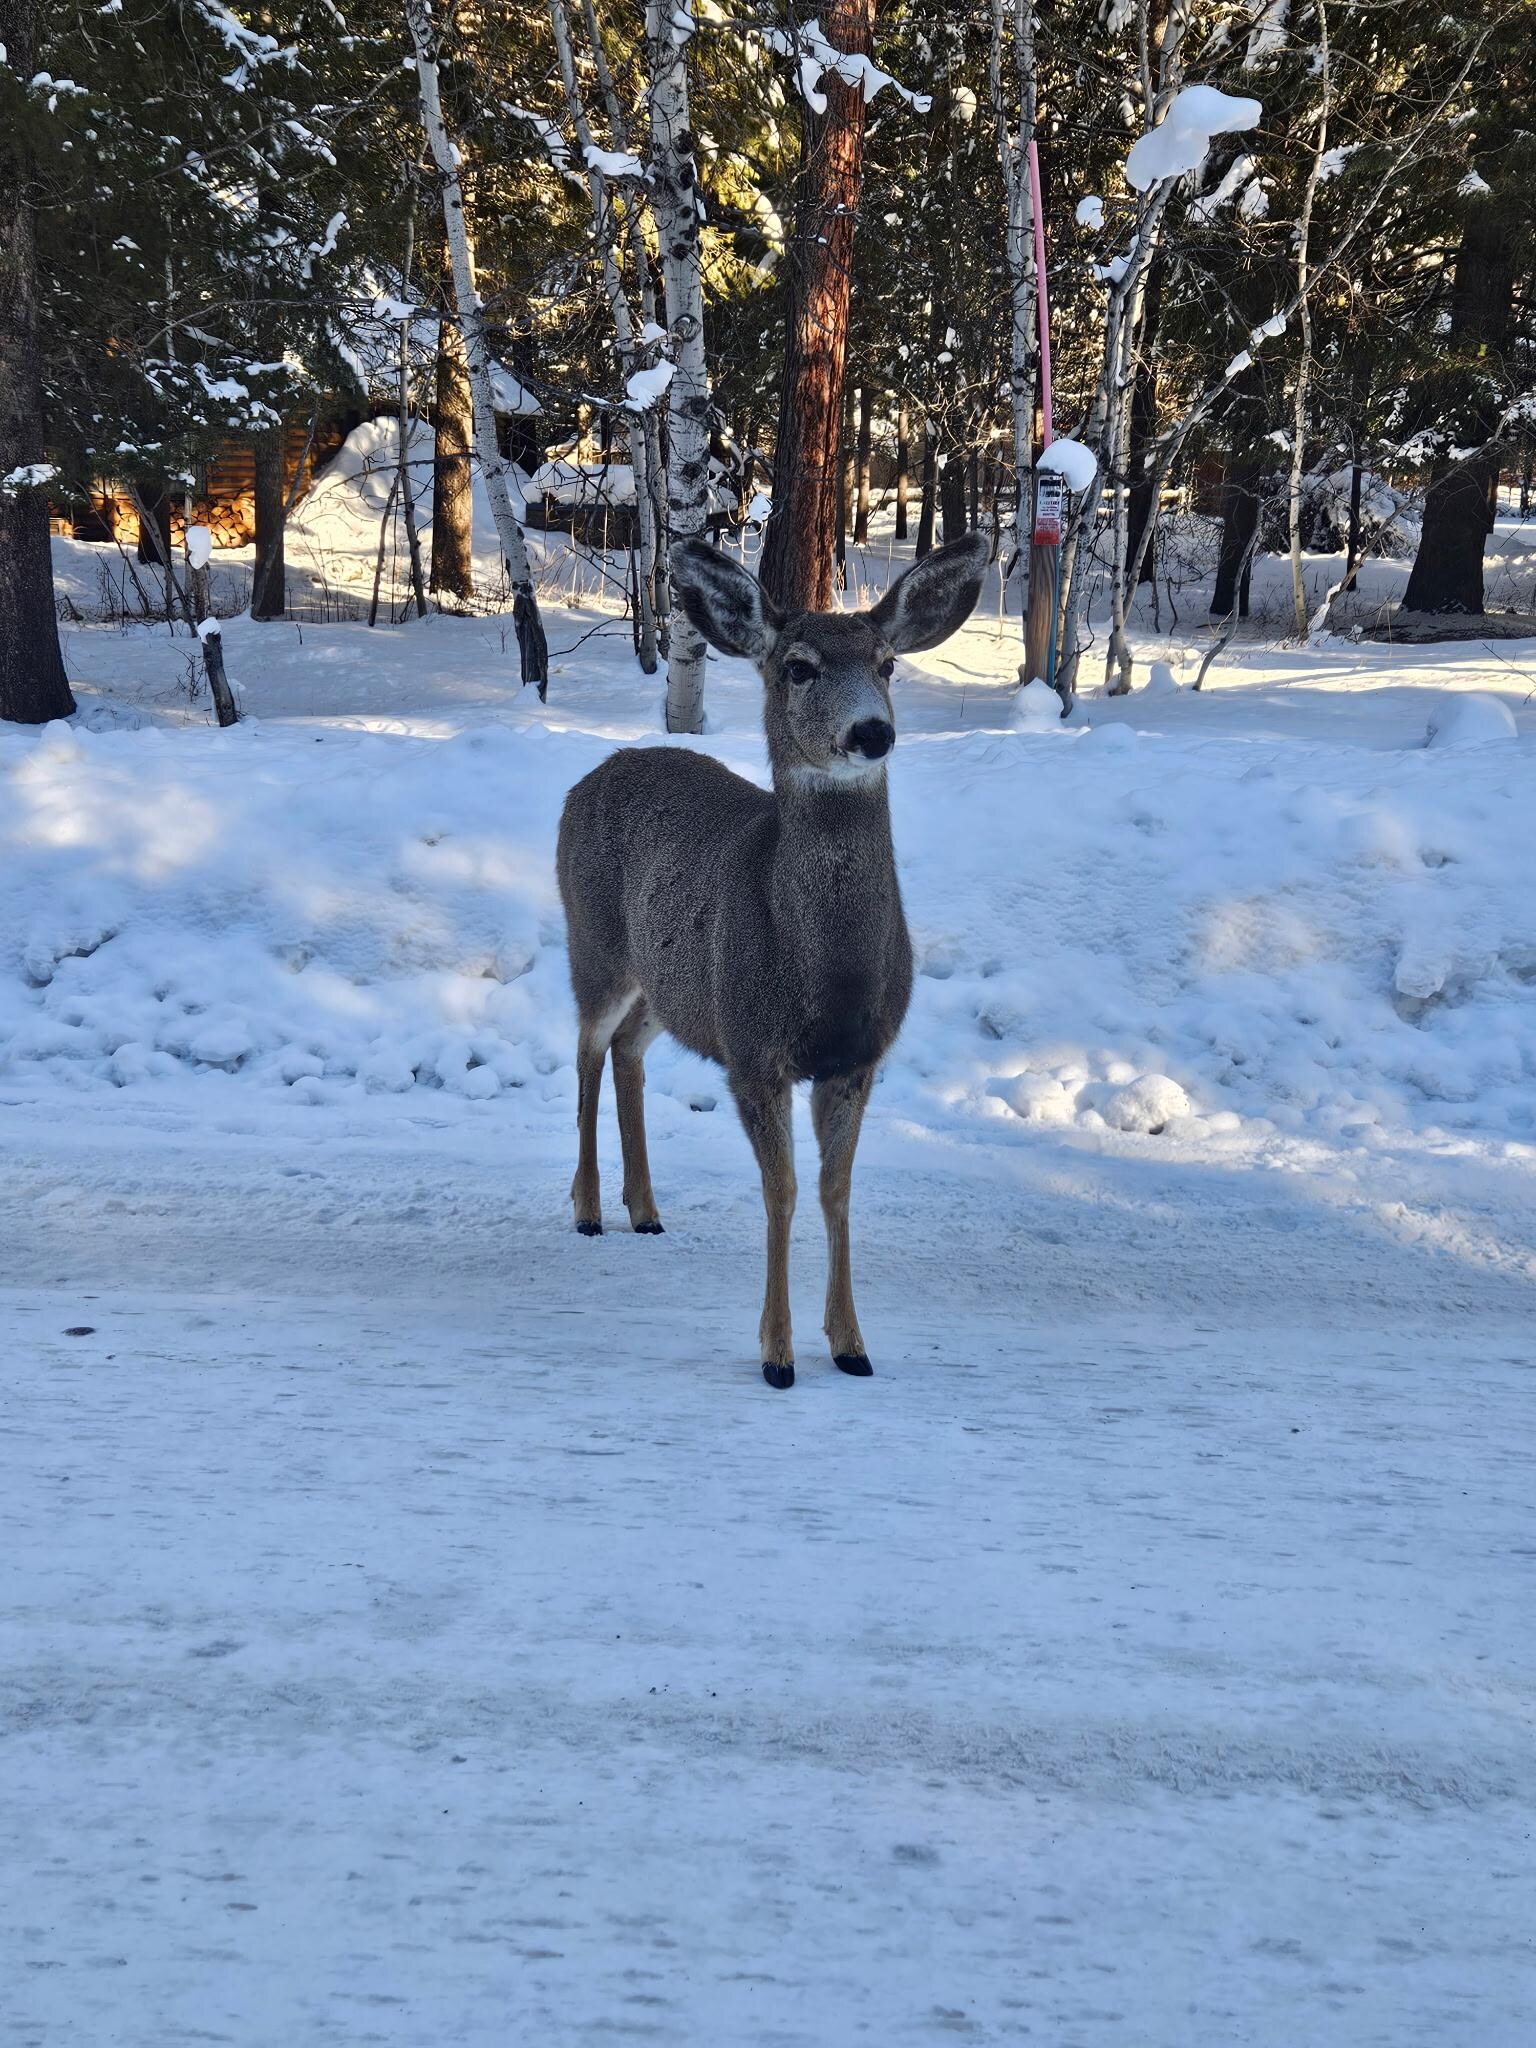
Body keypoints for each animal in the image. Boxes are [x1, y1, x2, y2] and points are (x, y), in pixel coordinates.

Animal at [556, 530, 989, 1389]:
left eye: (887, 663)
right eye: (799, 667)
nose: (871, 733)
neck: (827, 976)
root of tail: (586, 781)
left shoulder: (854, 1058)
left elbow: (836, 1190)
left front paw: (851, 1344)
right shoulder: (755, 1052)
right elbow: (782, 1191)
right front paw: (778, 1354)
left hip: (674, 988)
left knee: (626, 1052)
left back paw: (644, 1210)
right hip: (592, 940)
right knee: (585, 1048)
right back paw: (587, 1210)